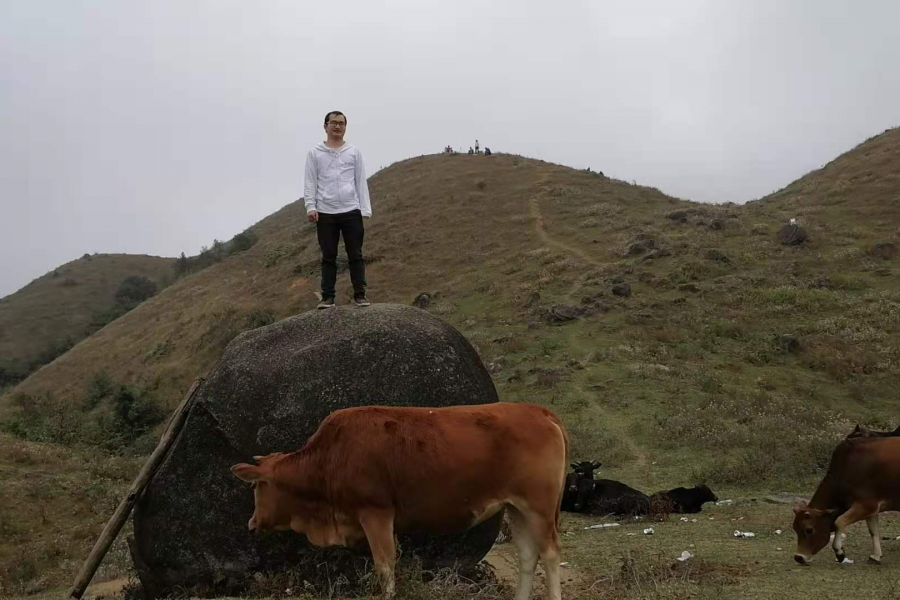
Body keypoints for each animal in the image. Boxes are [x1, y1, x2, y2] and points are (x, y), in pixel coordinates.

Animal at [232, 404, 568, 600]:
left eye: (257, 487)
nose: (250, 523)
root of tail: (538, 411)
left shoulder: (375, 513)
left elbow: (385, 566)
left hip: (539, 507)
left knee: (550, 554)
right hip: (516, 508)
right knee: (528, 555)